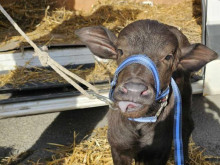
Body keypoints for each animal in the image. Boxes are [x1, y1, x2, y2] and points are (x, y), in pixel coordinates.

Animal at [75, 19, 217, 165]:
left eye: (168, 57)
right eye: (120, 51)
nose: (134, 90)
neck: (138, 125)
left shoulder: (159, 153)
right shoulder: (118, 148)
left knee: (187, 126)